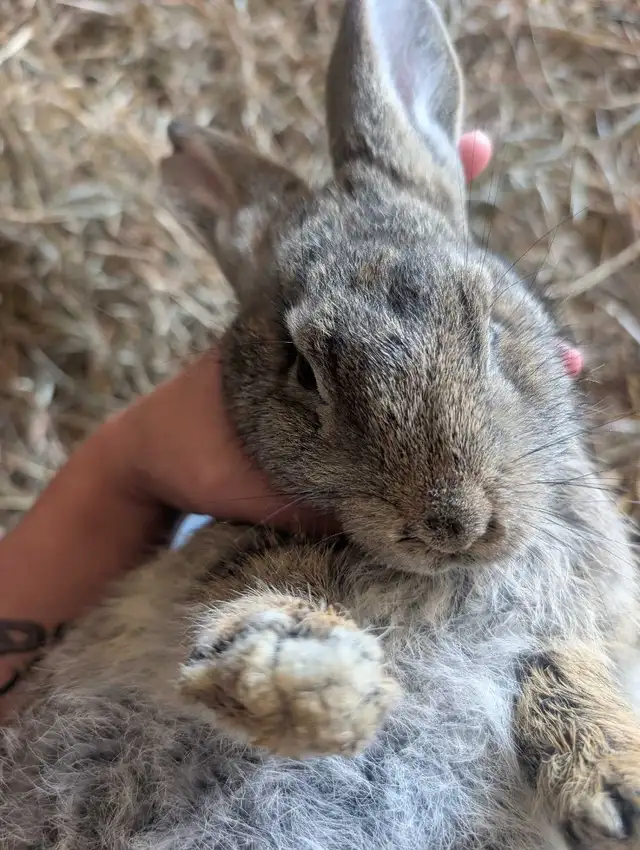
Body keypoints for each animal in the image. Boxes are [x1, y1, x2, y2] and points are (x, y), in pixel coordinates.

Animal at [2, 0, 640, 848]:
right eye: (305, 372)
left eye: (490, 329)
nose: (454, 521)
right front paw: (308, 676)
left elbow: (558, 661)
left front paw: (616, 785)